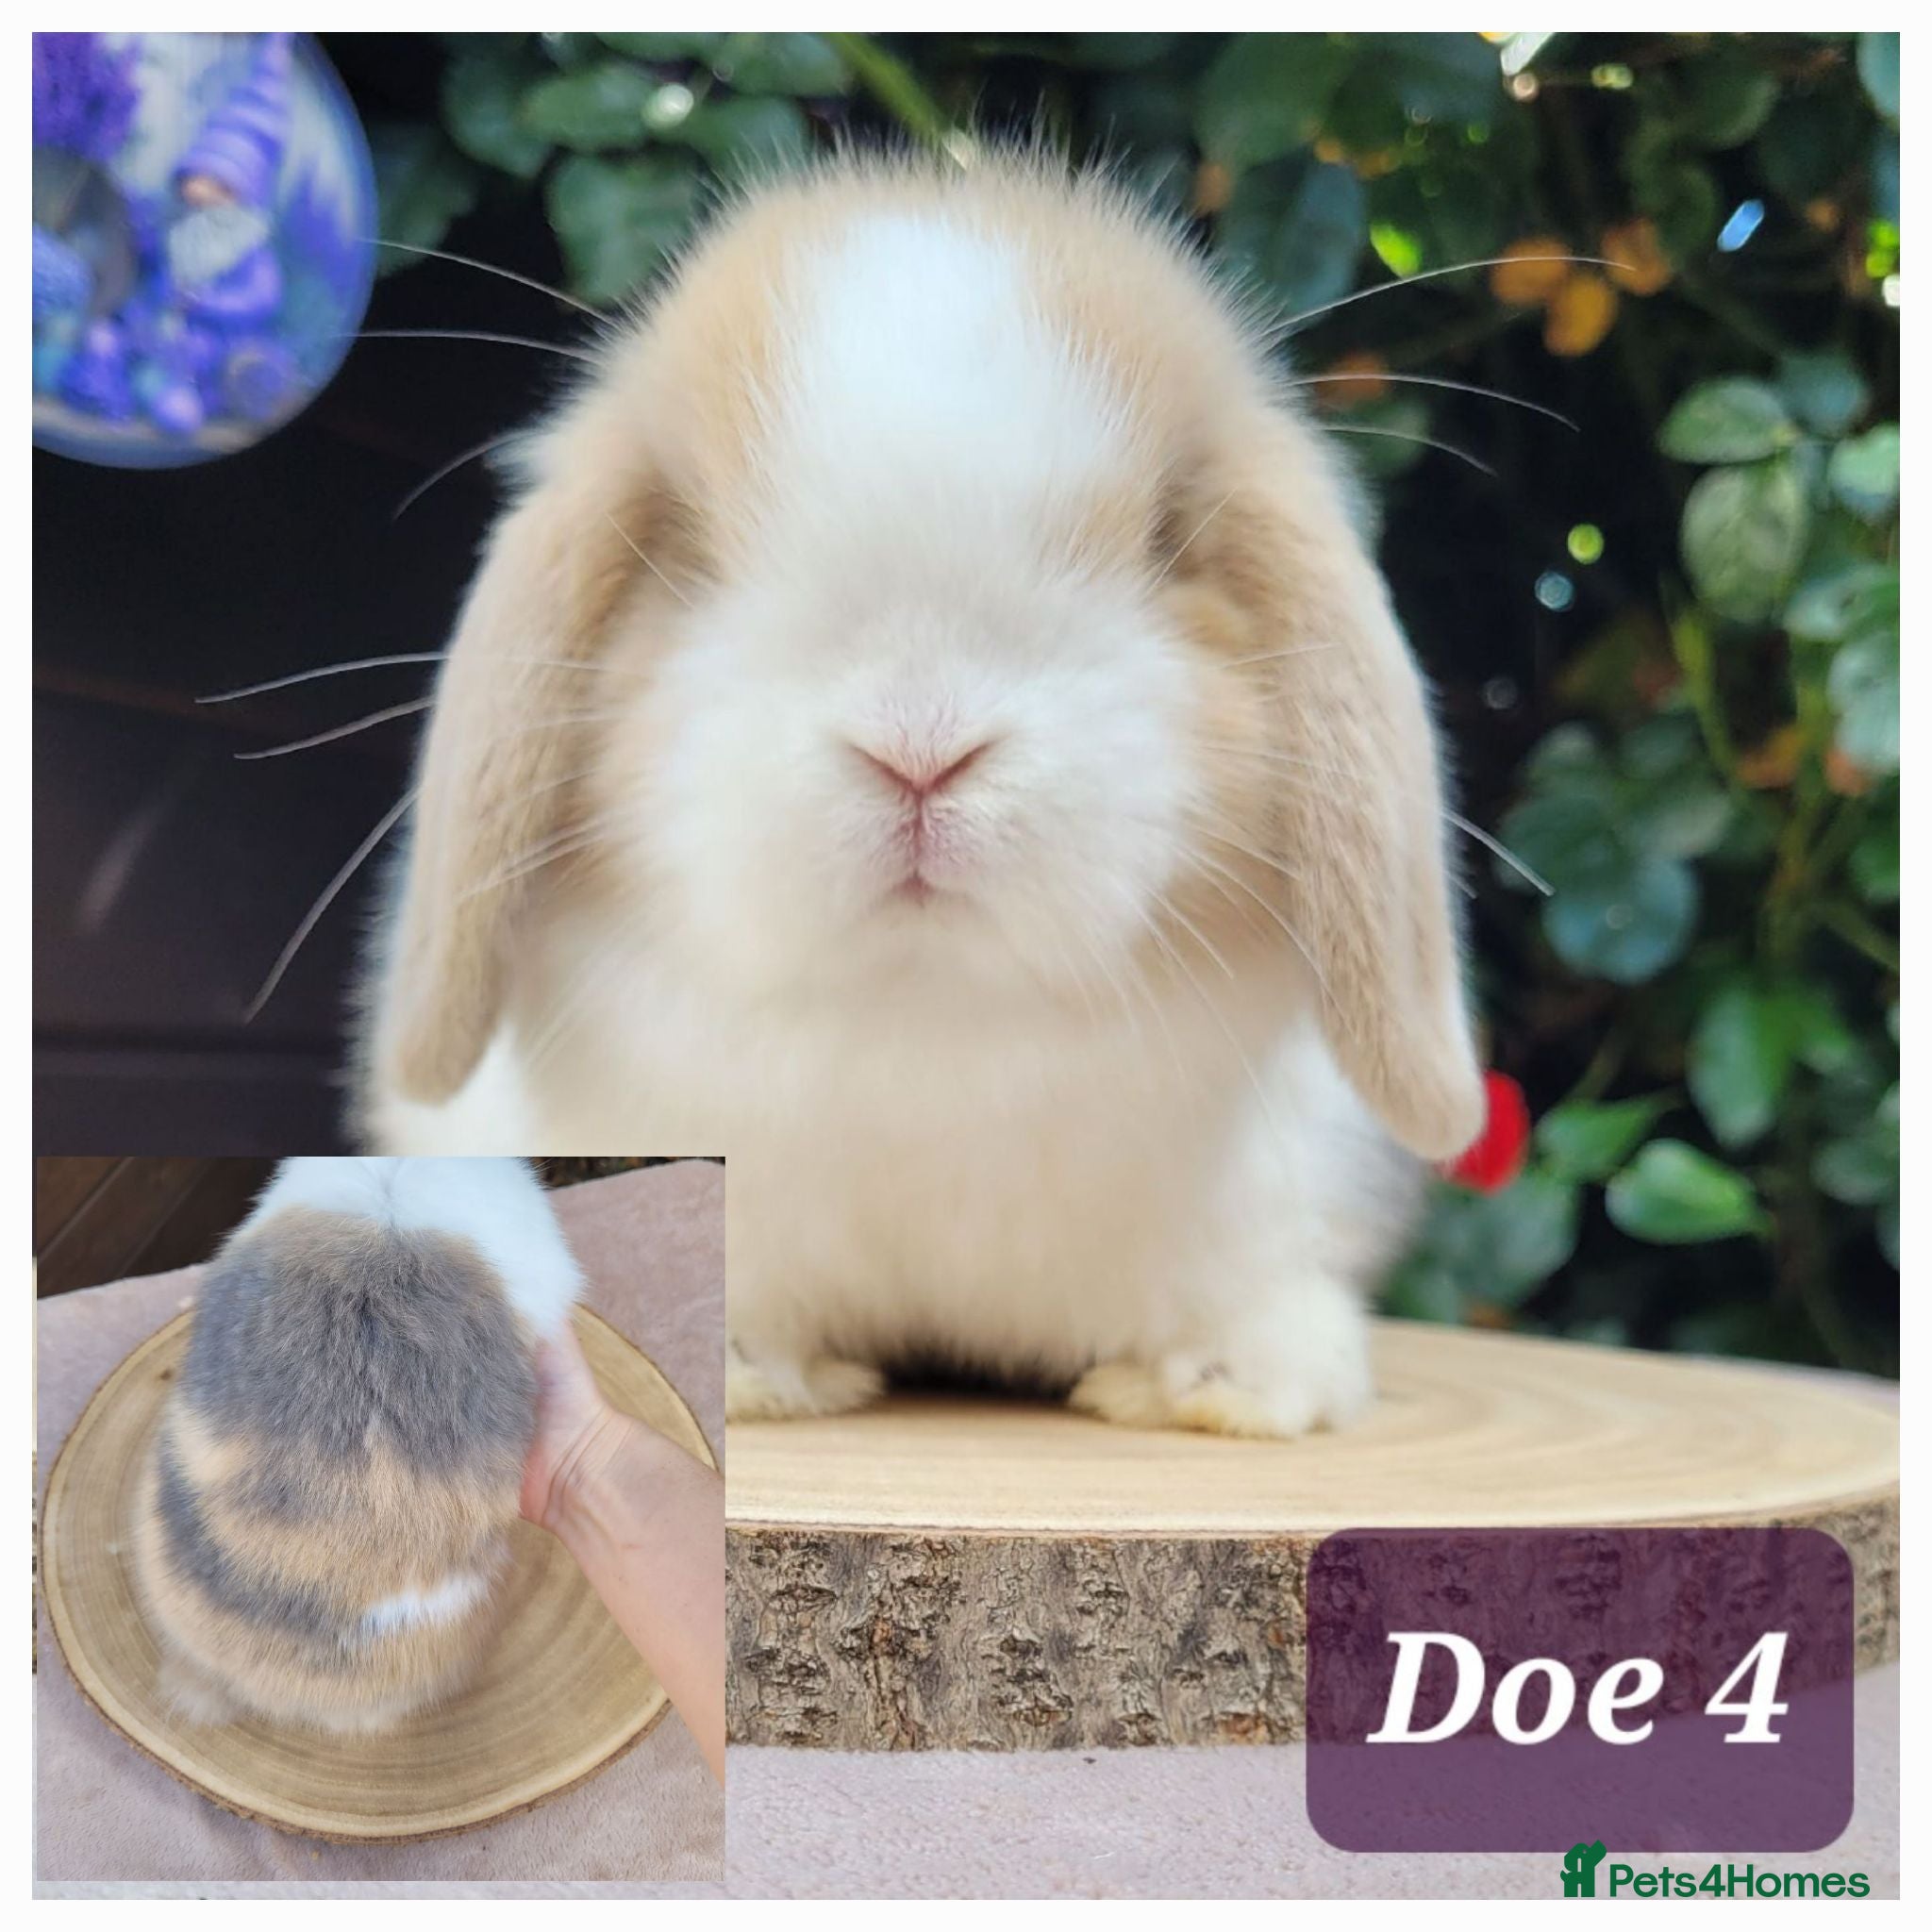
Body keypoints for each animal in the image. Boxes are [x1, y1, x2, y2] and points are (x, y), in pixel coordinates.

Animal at [358, 150, 1485, 1439]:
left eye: (1166, 536)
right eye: (685, 544)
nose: (919, 745)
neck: (927, 1013)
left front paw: (1219, 1386)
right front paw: (749, 1371)